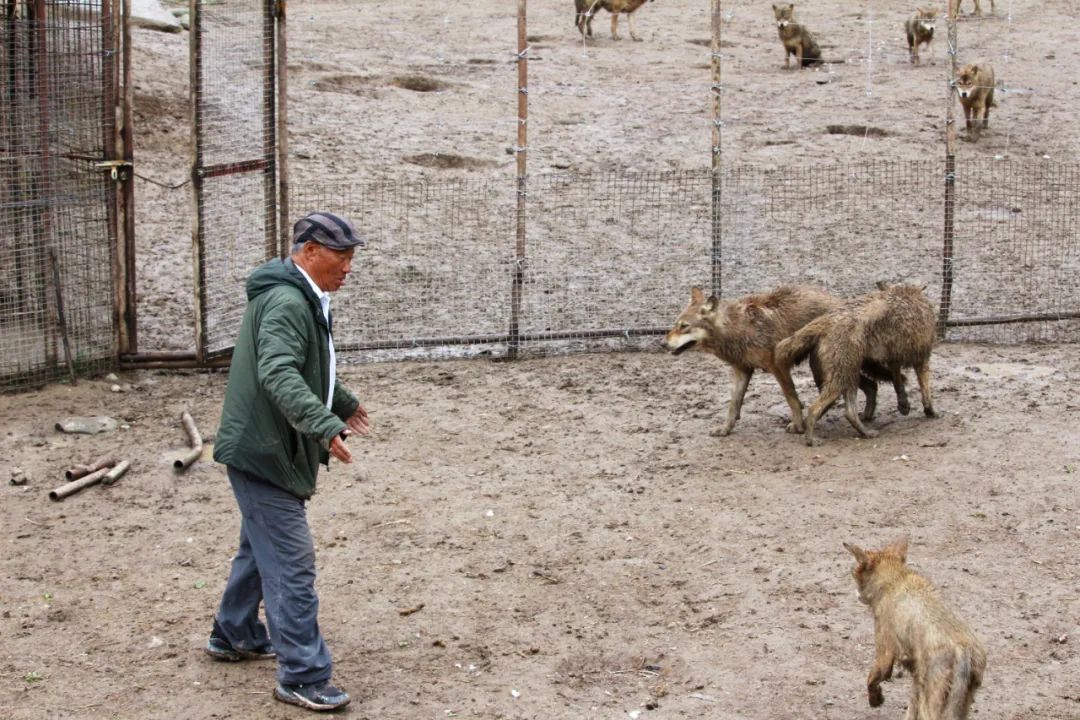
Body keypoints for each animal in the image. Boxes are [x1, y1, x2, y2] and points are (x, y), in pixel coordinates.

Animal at [665, 284, 902, 433]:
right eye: (675, 324)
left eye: (684, 326)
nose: (662, 344)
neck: (738, 326)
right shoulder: (741, 370)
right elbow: (733, 405)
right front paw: (725, 430)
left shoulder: (778, 366)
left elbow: (792, 398)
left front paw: (797, 427)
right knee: (871, 386)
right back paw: (866, 416)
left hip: (821, 367)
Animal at [777, 282, 937, 444]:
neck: (908, 294)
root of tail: (826, 321)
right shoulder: (922, 359)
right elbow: (926, 391)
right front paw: (931, 412)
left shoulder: (894, 357)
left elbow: (898, 381)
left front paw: (904, 404)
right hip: (844, 377)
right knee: (819, 409)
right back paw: (813, 439)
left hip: (846, 376)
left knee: (849, 409)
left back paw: (864, 430)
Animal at [842, 539, 989, 720]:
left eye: (854, 573)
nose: (856, 595)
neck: (895, 580)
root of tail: (964, 651)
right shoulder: (916, 676)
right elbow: (911, 708)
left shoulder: (885, 653)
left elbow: (871, 679)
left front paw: (876, 699)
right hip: (961, 705)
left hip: (932, 704)